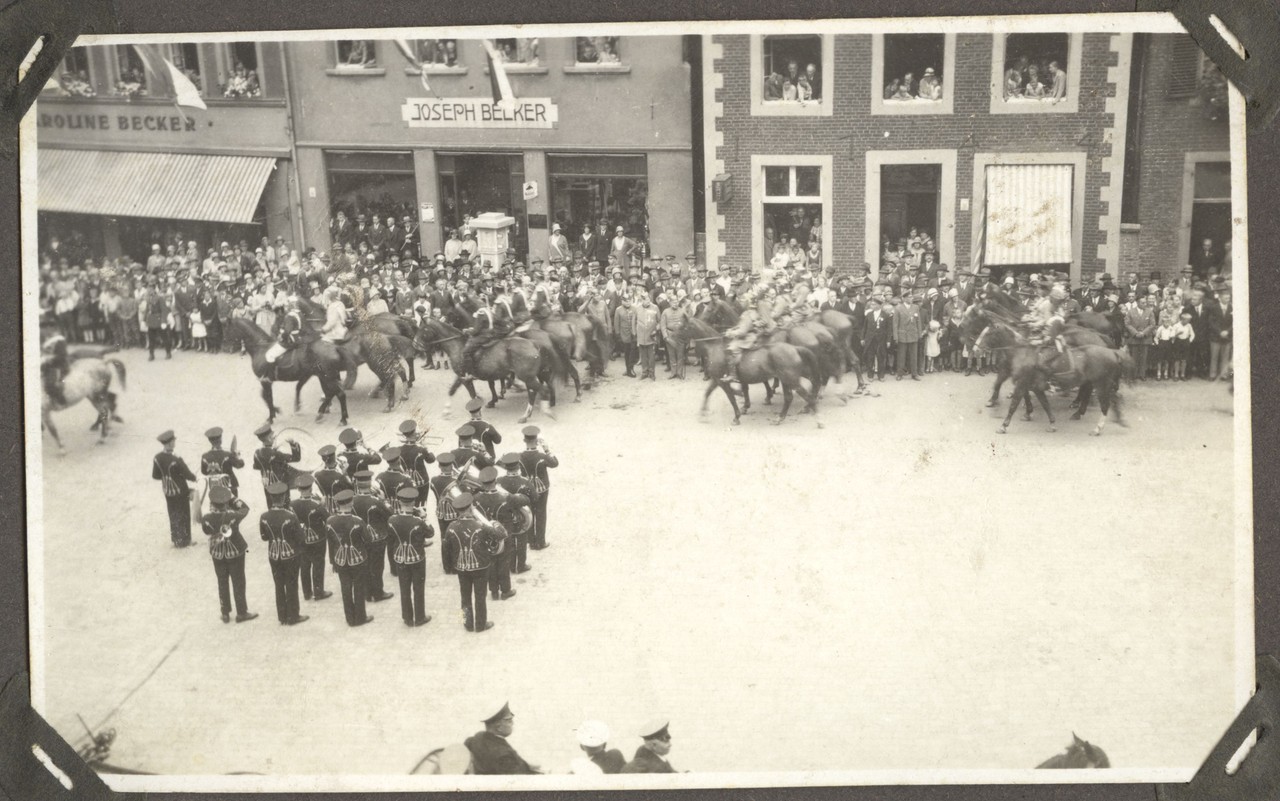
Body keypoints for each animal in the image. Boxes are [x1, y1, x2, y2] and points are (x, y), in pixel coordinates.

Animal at [221, 316, 350, 424]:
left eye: (227, 329)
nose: (225, 346)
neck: (261, 348)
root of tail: (334, 347)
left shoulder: (265, 381)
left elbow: (268, 397)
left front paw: (271, 417)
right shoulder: (267, 381)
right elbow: (264, 396)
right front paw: (276, 411)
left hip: (327, 377)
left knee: (339, 394)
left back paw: (342, 419)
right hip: (323, 377)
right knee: (330, 394)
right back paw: (322, 413)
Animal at [414, 316, 565, 424]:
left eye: (423, 329)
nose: (415, 344)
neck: (458, 346)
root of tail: (534, 343)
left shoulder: (464, 377)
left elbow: (471, 394)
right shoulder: (463, 376)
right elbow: (453, 391)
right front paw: (446, 411)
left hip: (527, 376)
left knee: (540, 390)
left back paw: (544, 410)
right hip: (532, 376)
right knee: (535, 391)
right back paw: (529, 413)